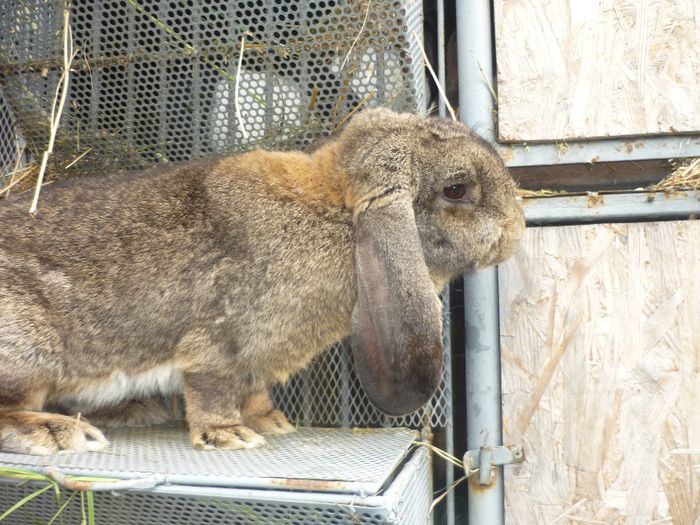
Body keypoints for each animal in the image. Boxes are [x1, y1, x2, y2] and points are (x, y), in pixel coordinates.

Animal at [0, 108, 524, 452]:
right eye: (457, 189)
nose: (516, 229)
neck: (336, 216)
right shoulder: (219, 341)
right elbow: (211, 387)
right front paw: (228, 435)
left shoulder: (257, 361)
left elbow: (252, 391)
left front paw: (272, 422)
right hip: (29, 349)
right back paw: (59, 432)